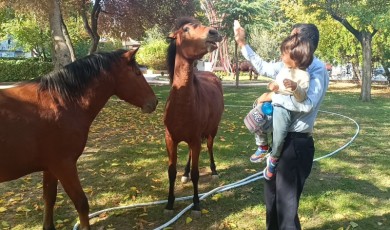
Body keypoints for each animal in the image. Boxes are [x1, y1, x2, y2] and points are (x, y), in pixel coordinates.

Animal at [0, 48, 158, 228]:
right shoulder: (64, 166)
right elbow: (81, 203)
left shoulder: (50, 168)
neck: (59, 102)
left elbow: (49, 198)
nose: (154, 102)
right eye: (137, 73)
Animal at [163, 16, 224, 214]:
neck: (182, 106)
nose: (214, 32)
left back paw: (214, 171)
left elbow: (197, 174)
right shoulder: (170, 139)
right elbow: (171, 172)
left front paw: (196, 203)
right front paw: (169, 203)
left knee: (210, 147)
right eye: (186, 29)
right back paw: (185, 173)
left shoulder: (196, 139)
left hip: (212, 130)